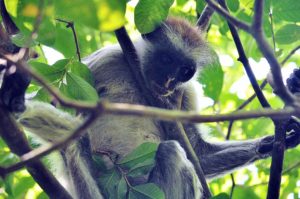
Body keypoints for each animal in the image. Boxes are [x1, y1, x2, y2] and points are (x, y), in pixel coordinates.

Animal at [1, 17, 300, 199]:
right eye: (166, 59)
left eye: (185, 71)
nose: (168, 82)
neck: (140, 80)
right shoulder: (108, 58)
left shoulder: (184, 93)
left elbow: (198, 154)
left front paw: (277, 139)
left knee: (170, 151)